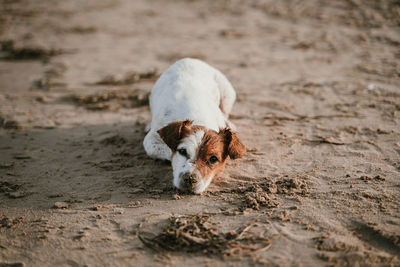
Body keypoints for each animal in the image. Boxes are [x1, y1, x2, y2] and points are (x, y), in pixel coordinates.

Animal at [142, 57, 245, 194]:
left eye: (213, 159)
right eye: (182, 151)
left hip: (228, 94)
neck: (199, 117)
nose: (190, 179)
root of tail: (190, 59)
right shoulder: (151, 140)